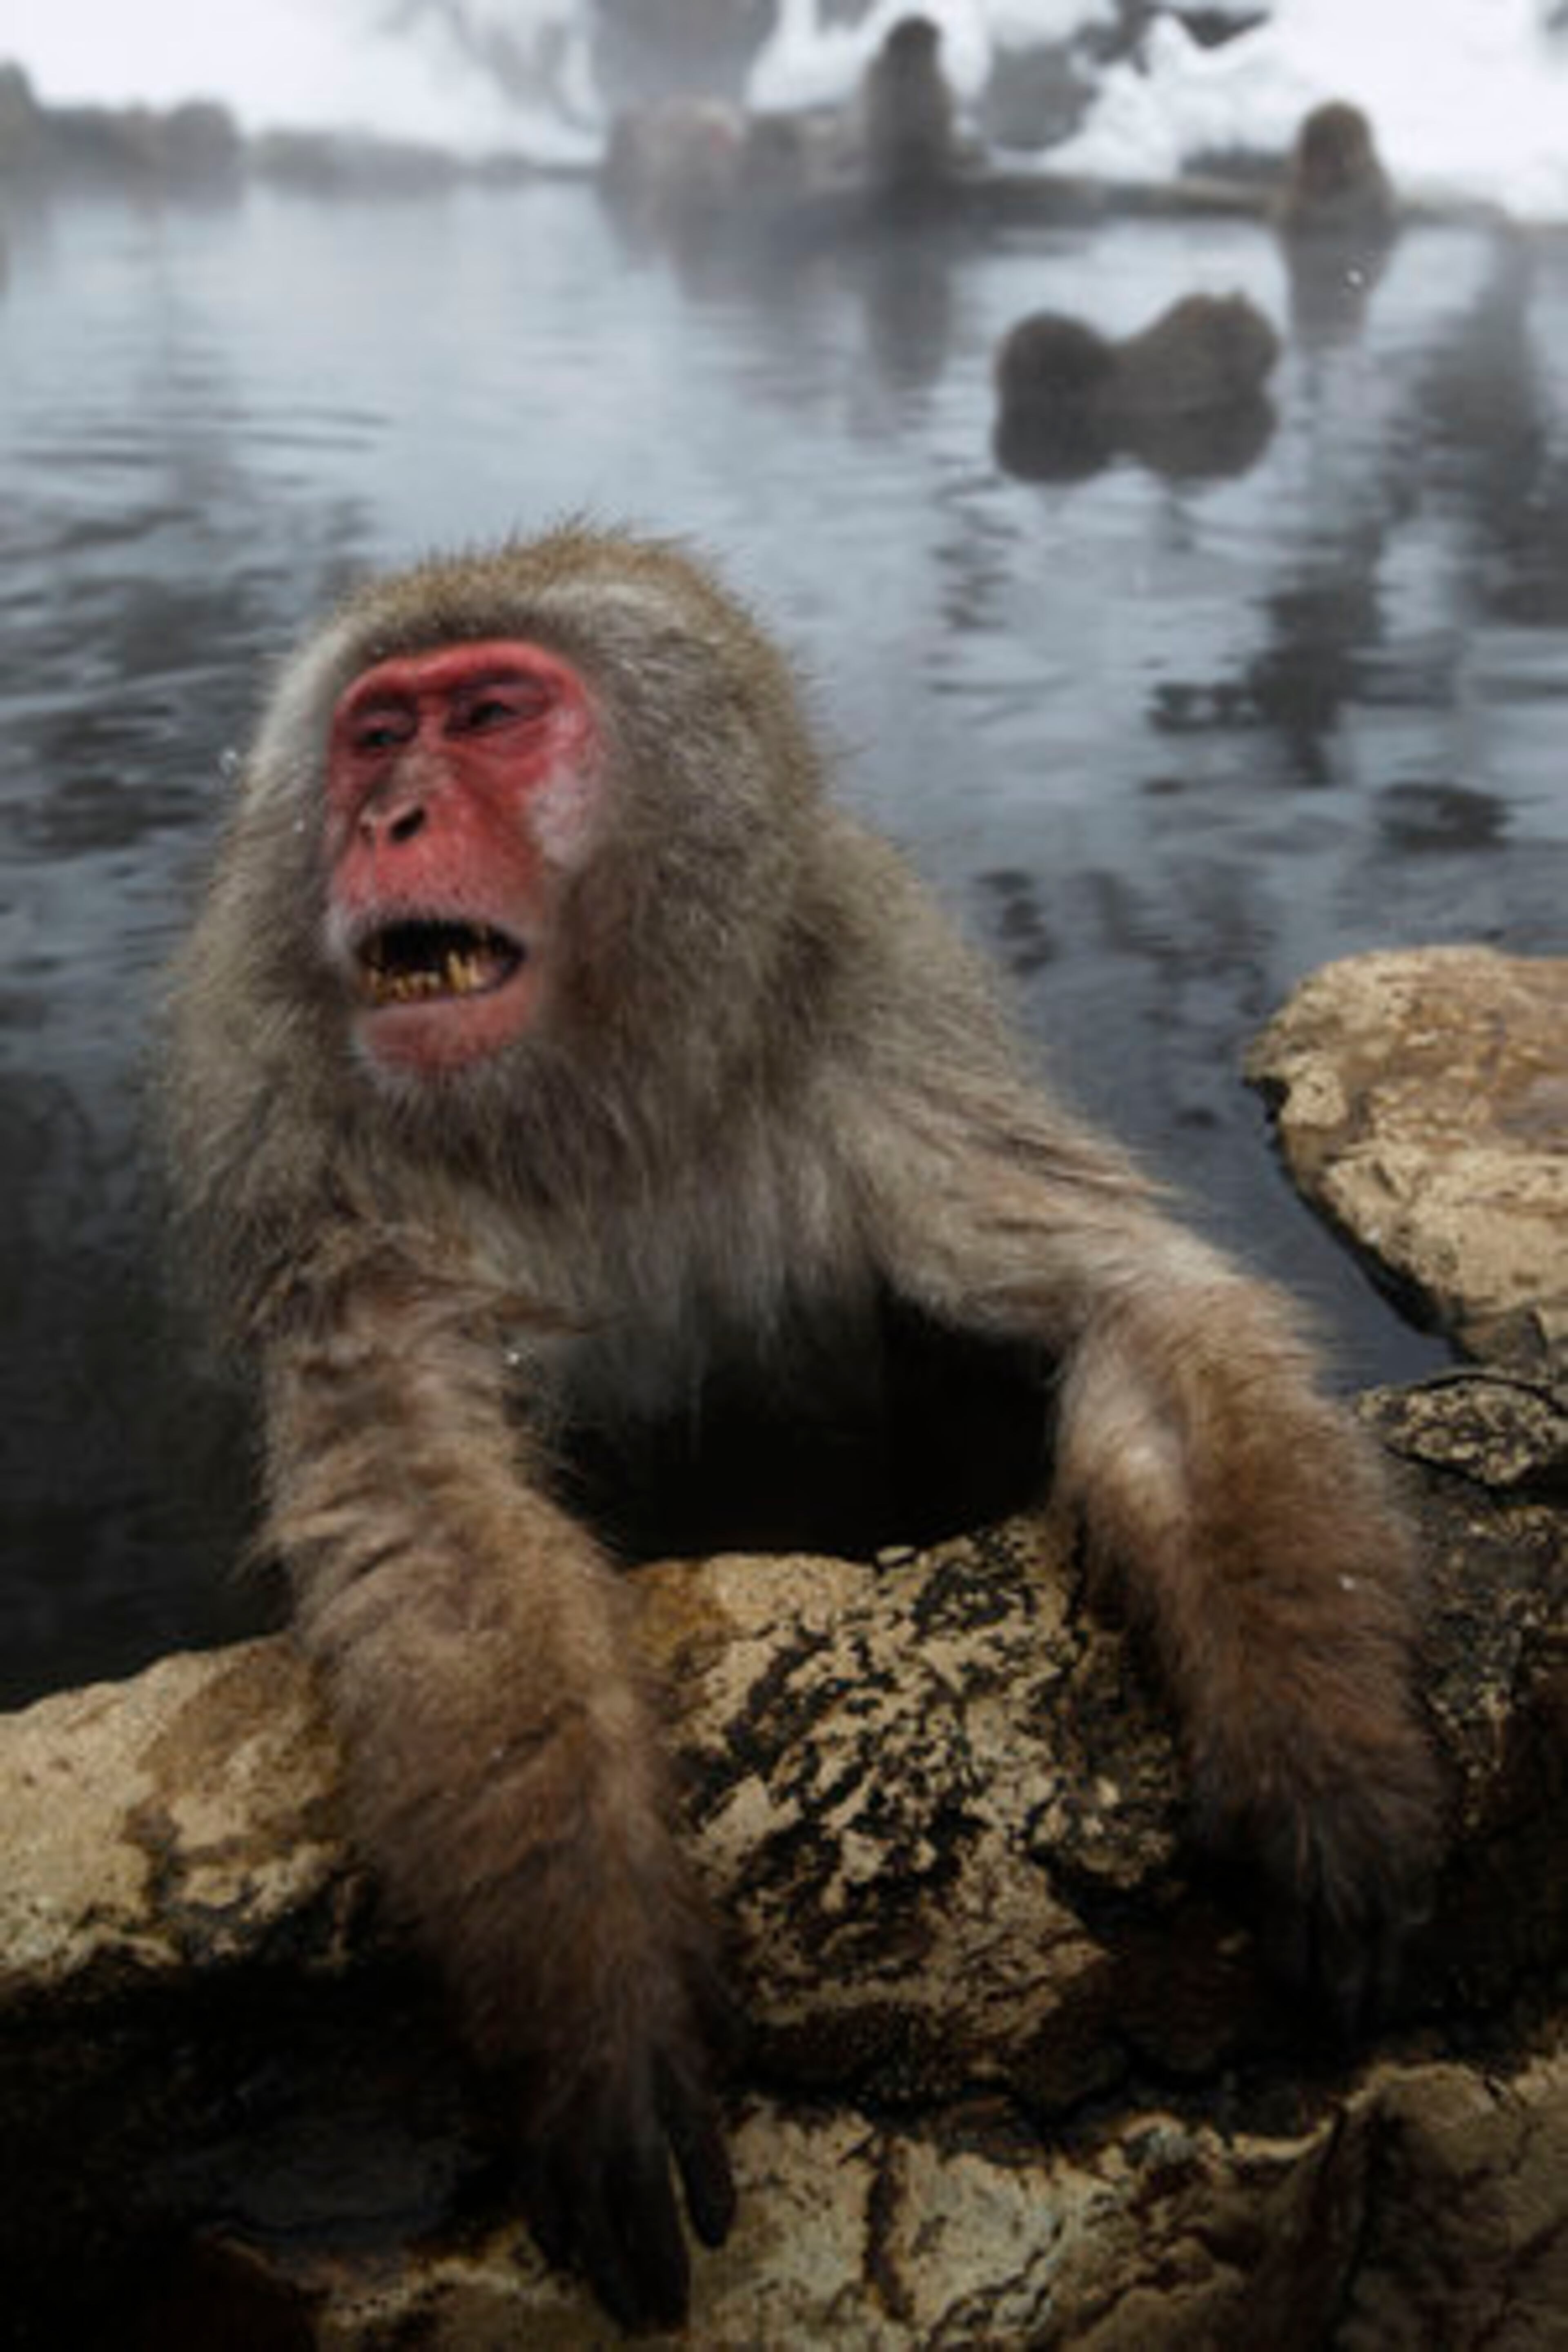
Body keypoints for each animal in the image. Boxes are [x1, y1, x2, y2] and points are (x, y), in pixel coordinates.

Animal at [166, 526, 1441, 2330]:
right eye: (374, 737)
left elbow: (1133, 1309)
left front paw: (1322, 1741)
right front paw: (592, 1995)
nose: (386, 821)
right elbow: (421, 1500)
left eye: (488, 718)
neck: (597, 1105)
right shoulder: (316, 1145)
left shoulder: (880, 1040)